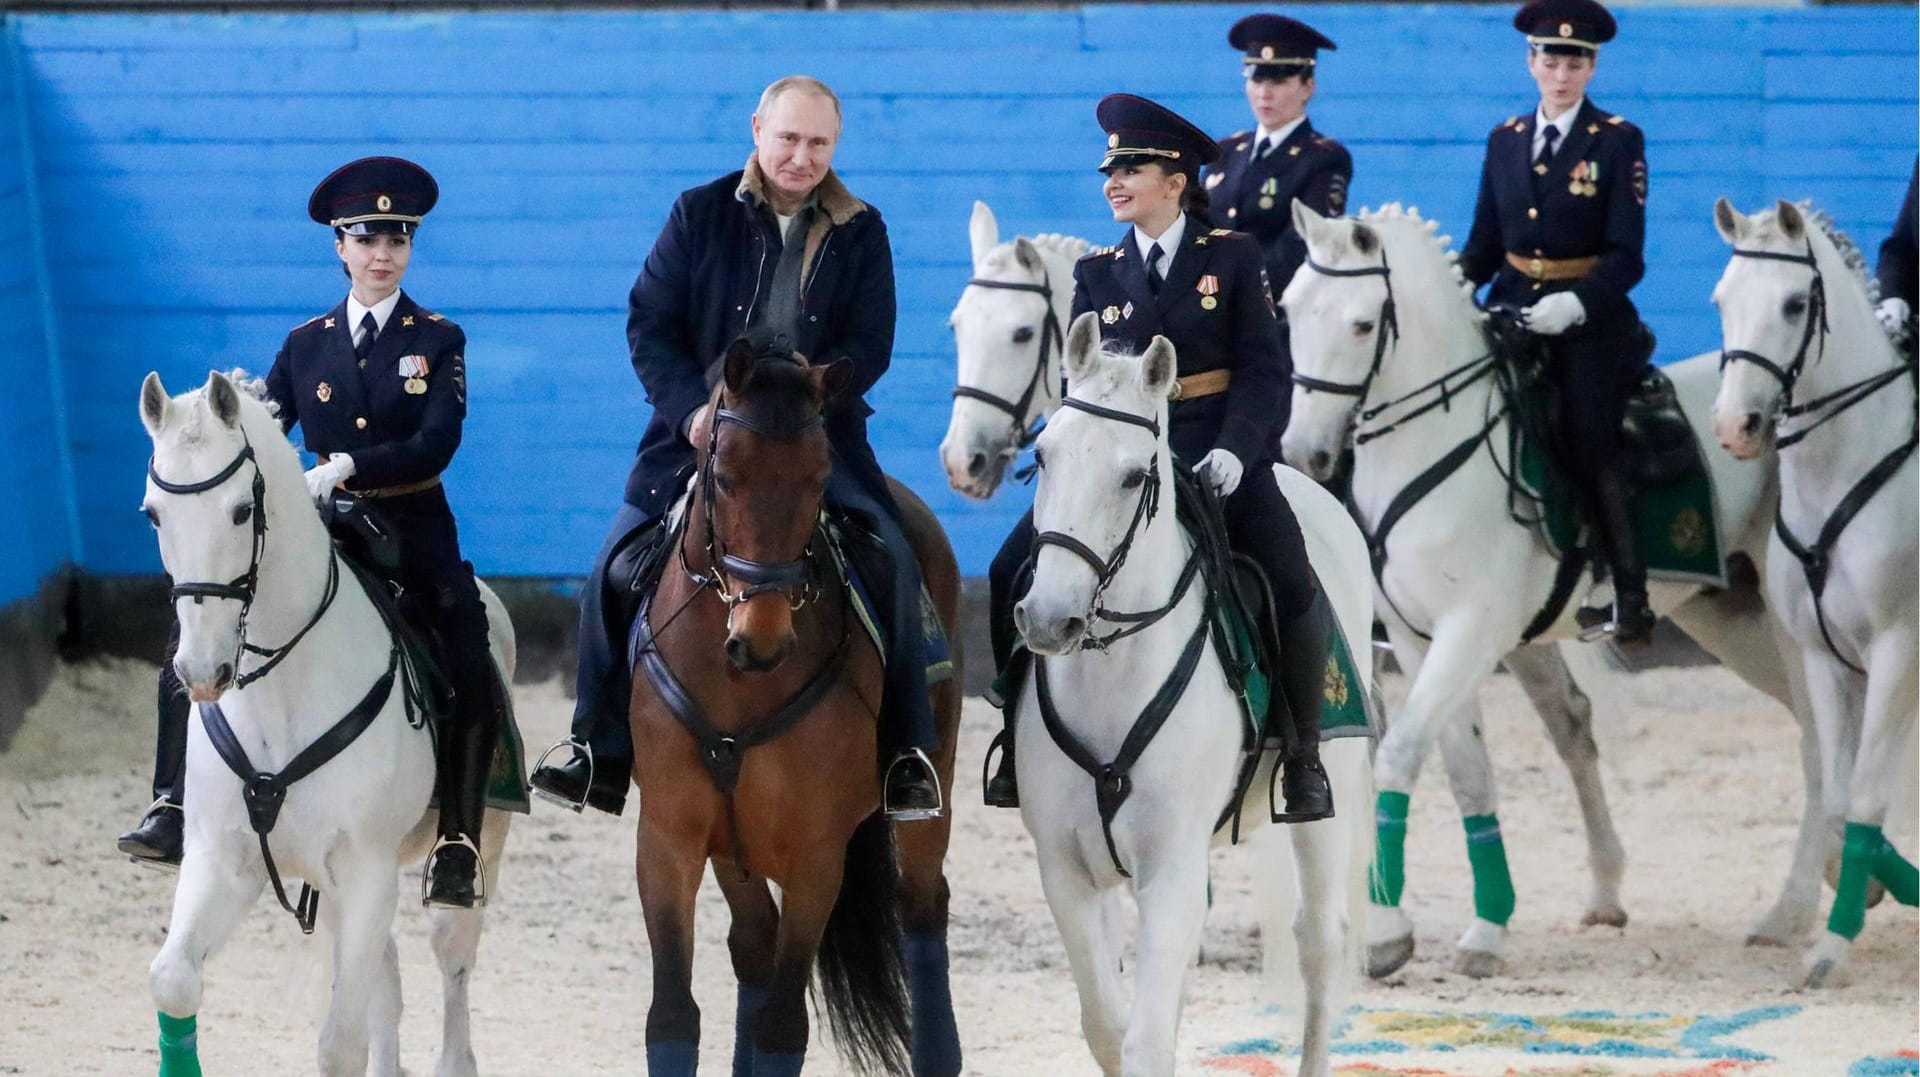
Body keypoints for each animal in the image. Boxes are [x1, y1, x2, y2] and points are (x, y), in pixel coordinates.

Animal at [140, 372, 514, 1075]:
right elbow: (174, 979)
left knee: (452, 963)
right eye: (153, 513)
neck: (281, 692)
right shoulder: (222, 855)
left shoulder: (366, 871)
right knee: (388, 983)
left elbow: (341, 1043)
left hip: (470, 852)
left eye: (241, 510)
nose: (202, 671)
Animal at [625, 337, 960, 1075]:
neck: (736, 680)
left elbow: (783, 1025)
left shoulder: (816, 853)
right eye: (724, 476)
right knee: (753, 943)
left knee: (922, 905)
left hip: (932, 788)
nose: (762, 639)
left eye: (818, 477)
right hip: (734, 846)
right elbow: (671, 1014)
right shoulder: (668, 838)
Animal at [936, 201, 1374, 1036]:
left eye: (1136, 474)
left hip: (1329, 802)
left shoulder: (1171, 868)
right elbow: (1111, 1025)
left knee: (1320, 950)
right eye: (1047, 458)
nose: (1050, 619)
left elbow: (1142, 1035)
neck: (1113, 667)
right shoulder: (1068, 870)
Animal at [1282, 199, 1820, 975]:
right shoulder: (1418, 639)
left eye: (1359, 324)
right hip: (1734, 621)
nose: (1304, 453)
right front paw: (1477, 926)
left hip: (1787, 621)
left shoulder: (1472, 629)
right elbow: (1467, 768)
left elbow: (1403, 752)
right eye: (1290, 309)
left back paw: (1804, 903)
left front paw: (1393, 933)